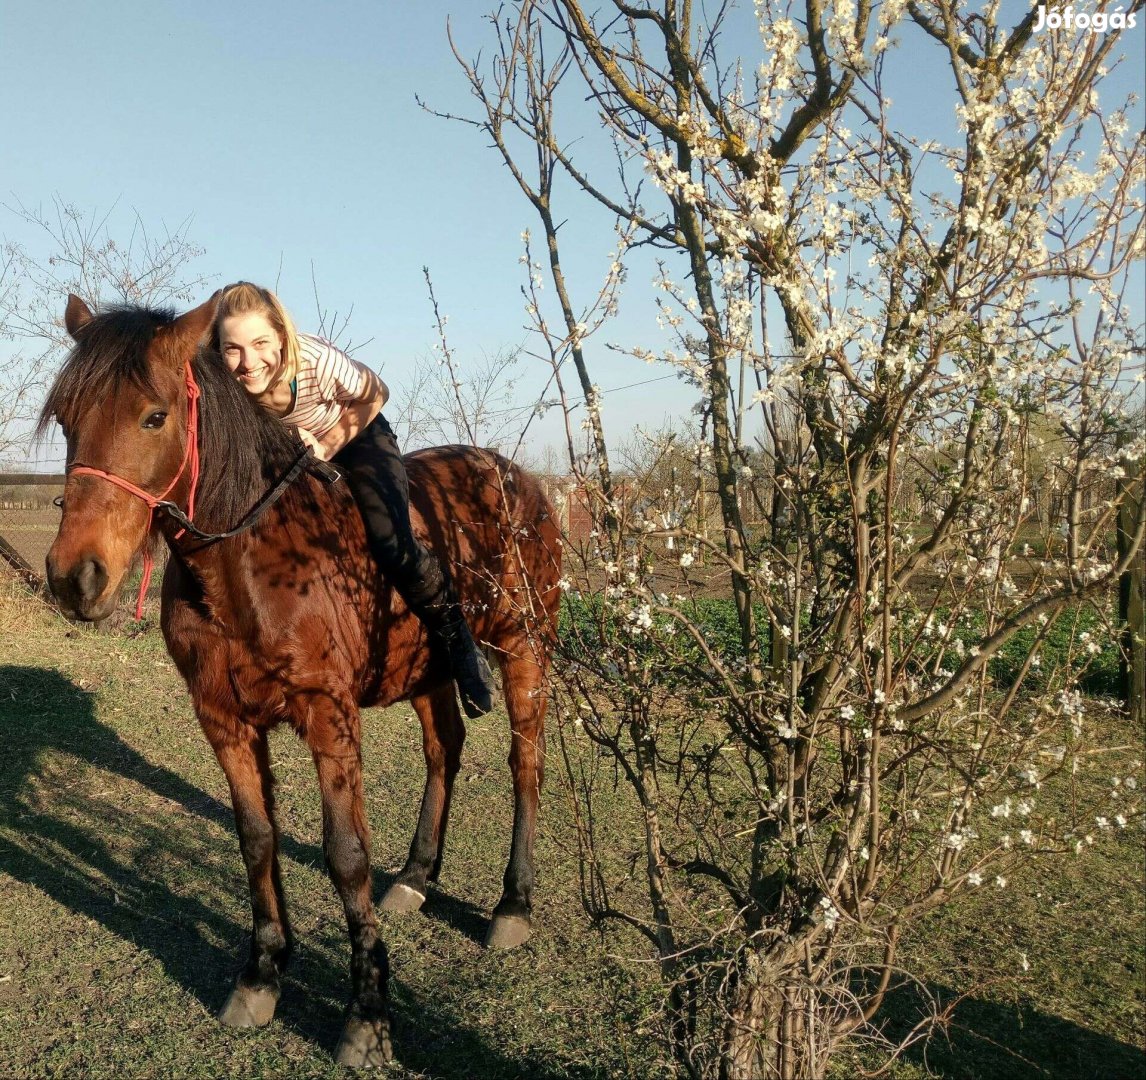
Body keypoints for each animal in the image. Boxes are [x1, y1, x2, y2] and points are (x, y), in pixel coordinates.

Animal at [42, 293, 561, 1063]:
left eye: (154, 416)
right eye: (68, 418)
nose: (75, 578)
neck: (245, 561)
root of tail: (519, 478)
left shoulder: (328, 715)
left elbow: (345, 855)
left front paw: (367, 1016)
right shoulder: (222, 719)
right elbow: (256, 837)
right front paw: (261, 975)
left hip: (526, 647)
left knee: (525, 763)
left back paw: (514, 904)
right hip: (428, 670)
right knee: (445, 752)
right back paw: (414, 879)